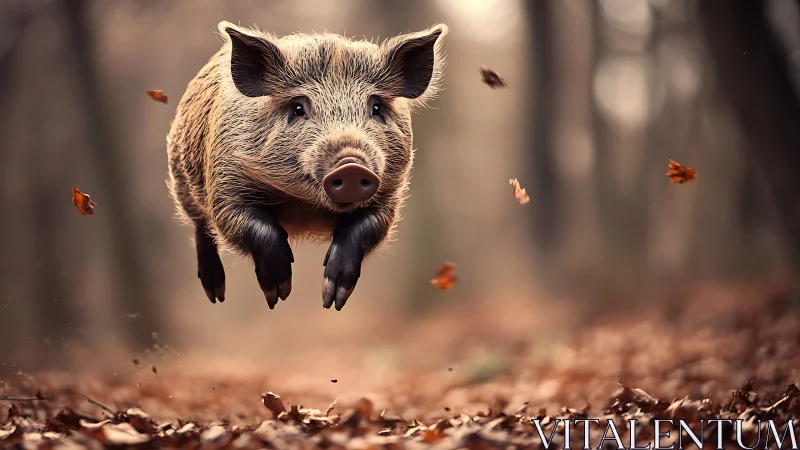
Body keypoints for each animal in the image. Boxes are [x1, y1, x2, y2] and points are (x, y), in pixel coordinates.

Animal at [166, 21, 448, 311]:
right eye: (298, 108)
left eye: (377, 107)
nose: (351, 166)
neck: (304, 209)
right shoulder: (225, 181)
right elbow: (246, 224)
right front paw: (277, 296)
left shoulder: (390, 192)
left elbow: (364, 228)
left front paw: (332, 301)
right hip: (181, 178)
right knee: (201, 226)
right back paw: (216, 296)